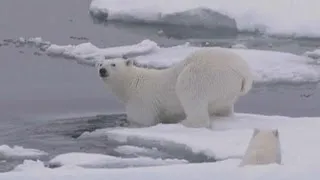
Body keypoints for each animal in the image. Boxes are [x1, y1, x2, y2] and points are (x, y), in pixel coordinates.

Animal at [97, 47, 252, 127]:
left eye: (113, 64)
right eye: (100, 64)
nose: (102, 70)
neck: (131, 84)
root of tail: (244, 71)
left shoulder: (141, 100)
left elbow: (142, 119)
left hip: (205, 74)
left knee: (189, 91)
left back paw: (185, 122)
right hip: (227, 90)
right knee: (223, 106)